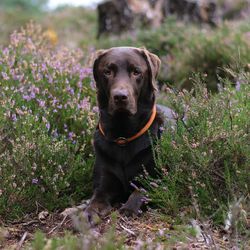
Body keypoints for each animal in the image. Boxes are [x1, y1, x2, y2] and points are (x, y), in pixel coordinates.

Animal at [84, 47, 174, 225]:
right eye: (107, 71)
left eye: (136, 72)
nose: (120, 96)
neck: (123, 136)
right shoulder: (104, 183)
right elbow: (96, 198)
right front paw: (91, 211)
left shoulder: (154, 178)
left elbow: (140, 192)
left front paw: (128, 209)